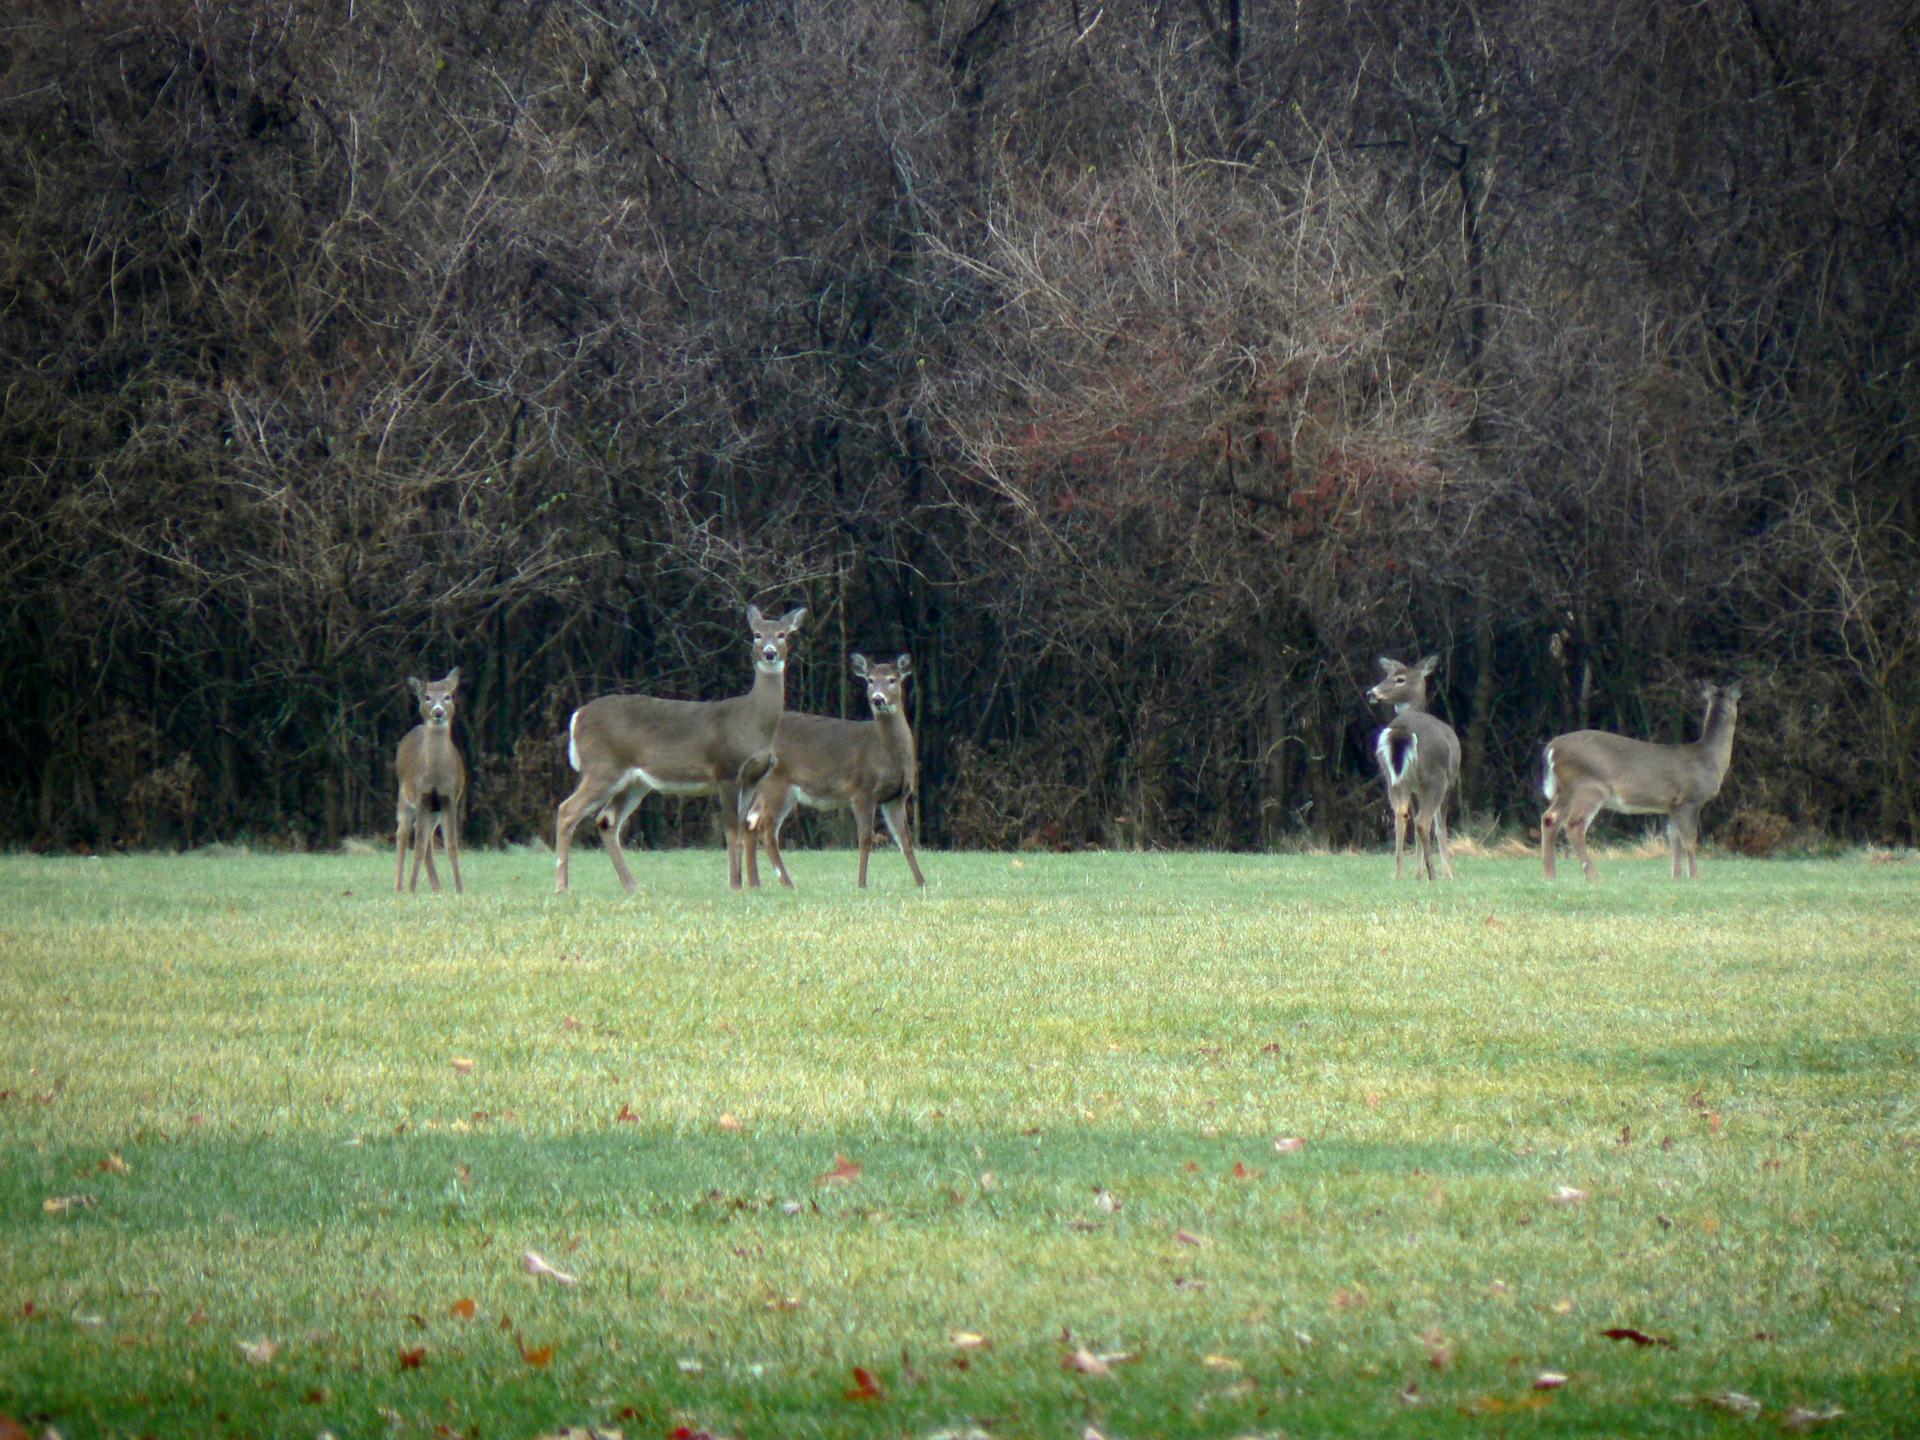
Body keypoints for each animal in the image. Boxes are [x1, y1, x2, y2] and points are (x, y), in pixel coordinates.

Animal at [395, 669, 467, 894]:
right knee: (402, 835)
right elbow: (416, 846)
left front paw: (460, 889)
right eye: (427, 697)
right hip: (404, 797)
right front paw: (411, 890)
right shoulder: (422, 795)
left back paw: (437, 887)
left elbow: (451, 845)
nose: (438, 712)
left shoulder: (449, 797)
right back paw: (399, 887)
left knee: (426, 838)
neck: (436, 775)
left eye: (448, 696)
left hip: (434, 811)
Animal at [554, 604, 806, 894]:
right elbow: (731, 829)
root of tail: (578, 716)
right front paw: (734, 885)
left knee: (607, 820)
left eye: (782, 634)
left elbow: (743, 828)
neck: (752, 723)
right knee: (567, 810)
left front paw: (741, 884)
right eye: (756, 634)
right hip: (603, 766)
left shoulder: (753, 778)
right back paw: (562, 886)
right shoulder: (726, 770)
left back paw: (633, 886)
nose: (769, 653)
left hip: (634, 780)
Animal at [740, 653, 925, 891]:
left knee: (751, 822)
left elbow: (905, 840)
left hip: (776, 789)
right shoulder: (862, 790)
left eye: (892, 680)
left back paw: (755, 883)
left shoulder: (897, 796)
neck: (887, 752)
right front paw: (862, 884)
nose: (877, 699)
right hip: (776, 781)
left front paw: (921, 882)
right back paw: (787, 883)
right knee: (767, 829)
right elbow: (865, 839)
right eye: (870, 680)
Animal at [1367, 654, 1461, 881]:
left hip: (1392, 778)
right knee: (1422, 821)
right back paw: (1432, 873)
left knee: (1401, 815)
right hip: (1436, 776)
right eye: (1388, 675)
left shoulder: (1415, 788)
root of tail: (1403, 729)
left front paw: (1417, 875)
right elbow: (1441, 827)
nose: (1371, 693)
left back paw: (1398, 873)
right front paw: (1448, 874)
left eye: (1399, 679)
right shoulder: (1450, 781)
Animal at [1540, 681, 1741, 881]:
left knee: (1550, 818)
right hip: (1589, 788)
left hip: (1565, 790)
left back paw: (1550, 875)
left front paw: (1676, 877)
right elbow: (1690, 841)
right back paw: (1593, 876)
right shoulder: (1690, 799)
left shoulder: (1672, 805)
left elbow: (1674, 839)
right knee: (1574, 824)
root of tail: (1552, 748)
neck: (1707, 758)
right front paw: (1694, 877)